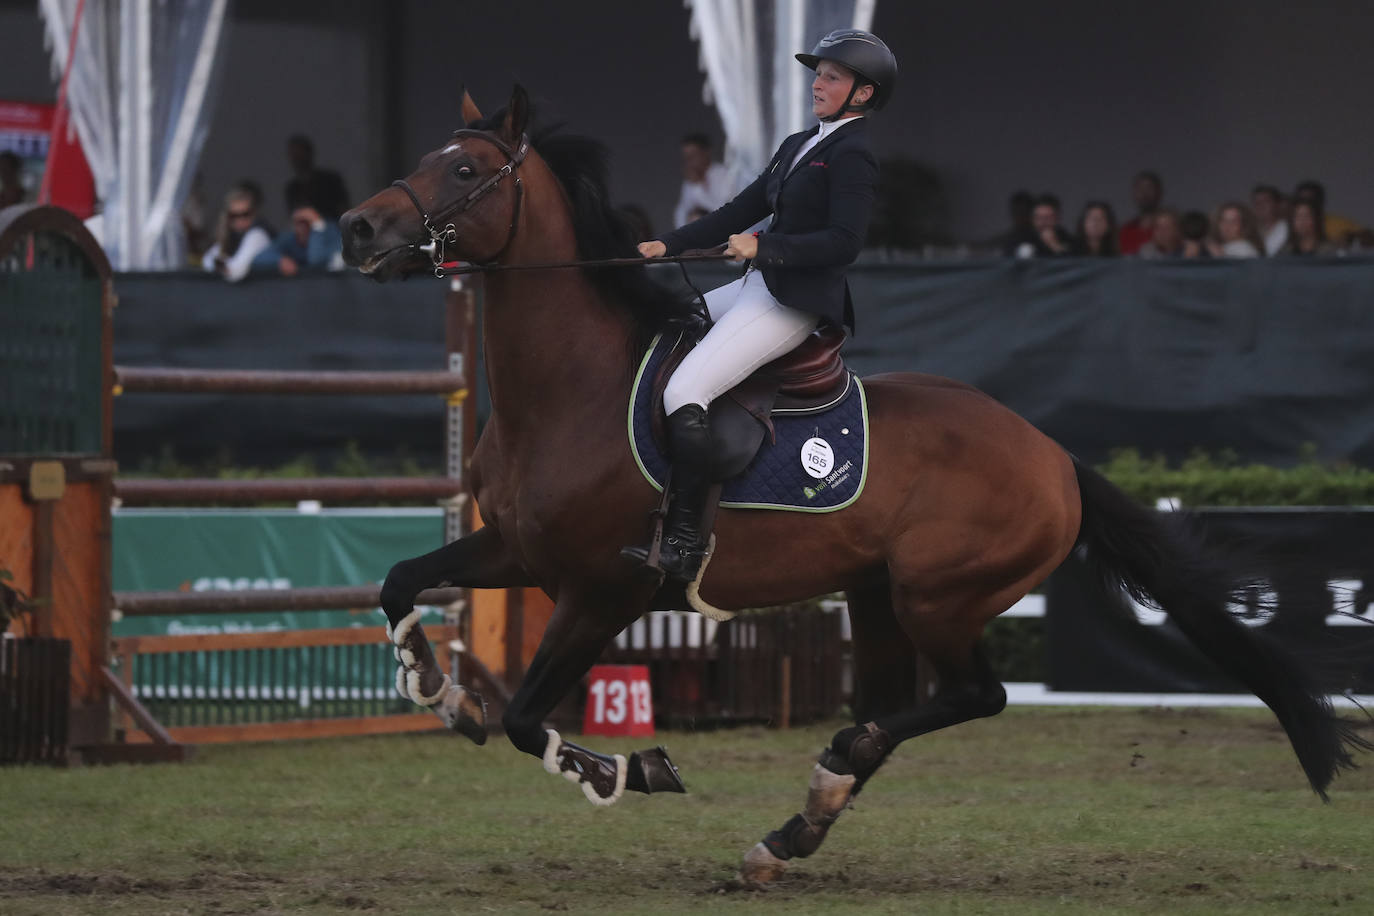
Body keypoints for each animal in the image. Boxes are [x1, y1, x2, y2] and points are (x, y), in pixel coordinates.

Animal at [338, 89, 1368, 884]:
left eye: (465, 170)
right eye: (431, 158)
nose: (356, 228)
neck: (570, 384)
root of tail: (1048, 449)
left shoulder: (604, 588)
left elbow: (524, 720)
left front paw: (621, 772)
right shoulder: (518, 550)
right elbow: (399, 583)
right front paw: (435, 686)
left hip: (940, 595)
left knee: (971, 696)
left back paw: (829, 772)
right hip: (875, 596)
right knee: (889, 701)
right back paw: (795, 828)